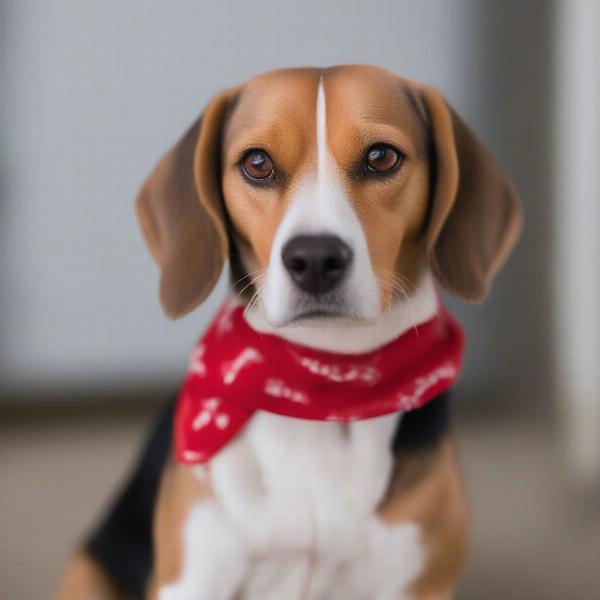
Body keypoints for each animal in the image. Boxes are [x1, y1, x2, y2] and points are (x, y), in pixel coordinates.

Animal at [58, 65, 524, 600]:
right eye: (257, 163)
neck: (321, 385)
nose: (315, 259)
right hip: (87, 573)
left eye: (381, 157)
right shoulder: (193, 579)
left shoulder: (418, 585)